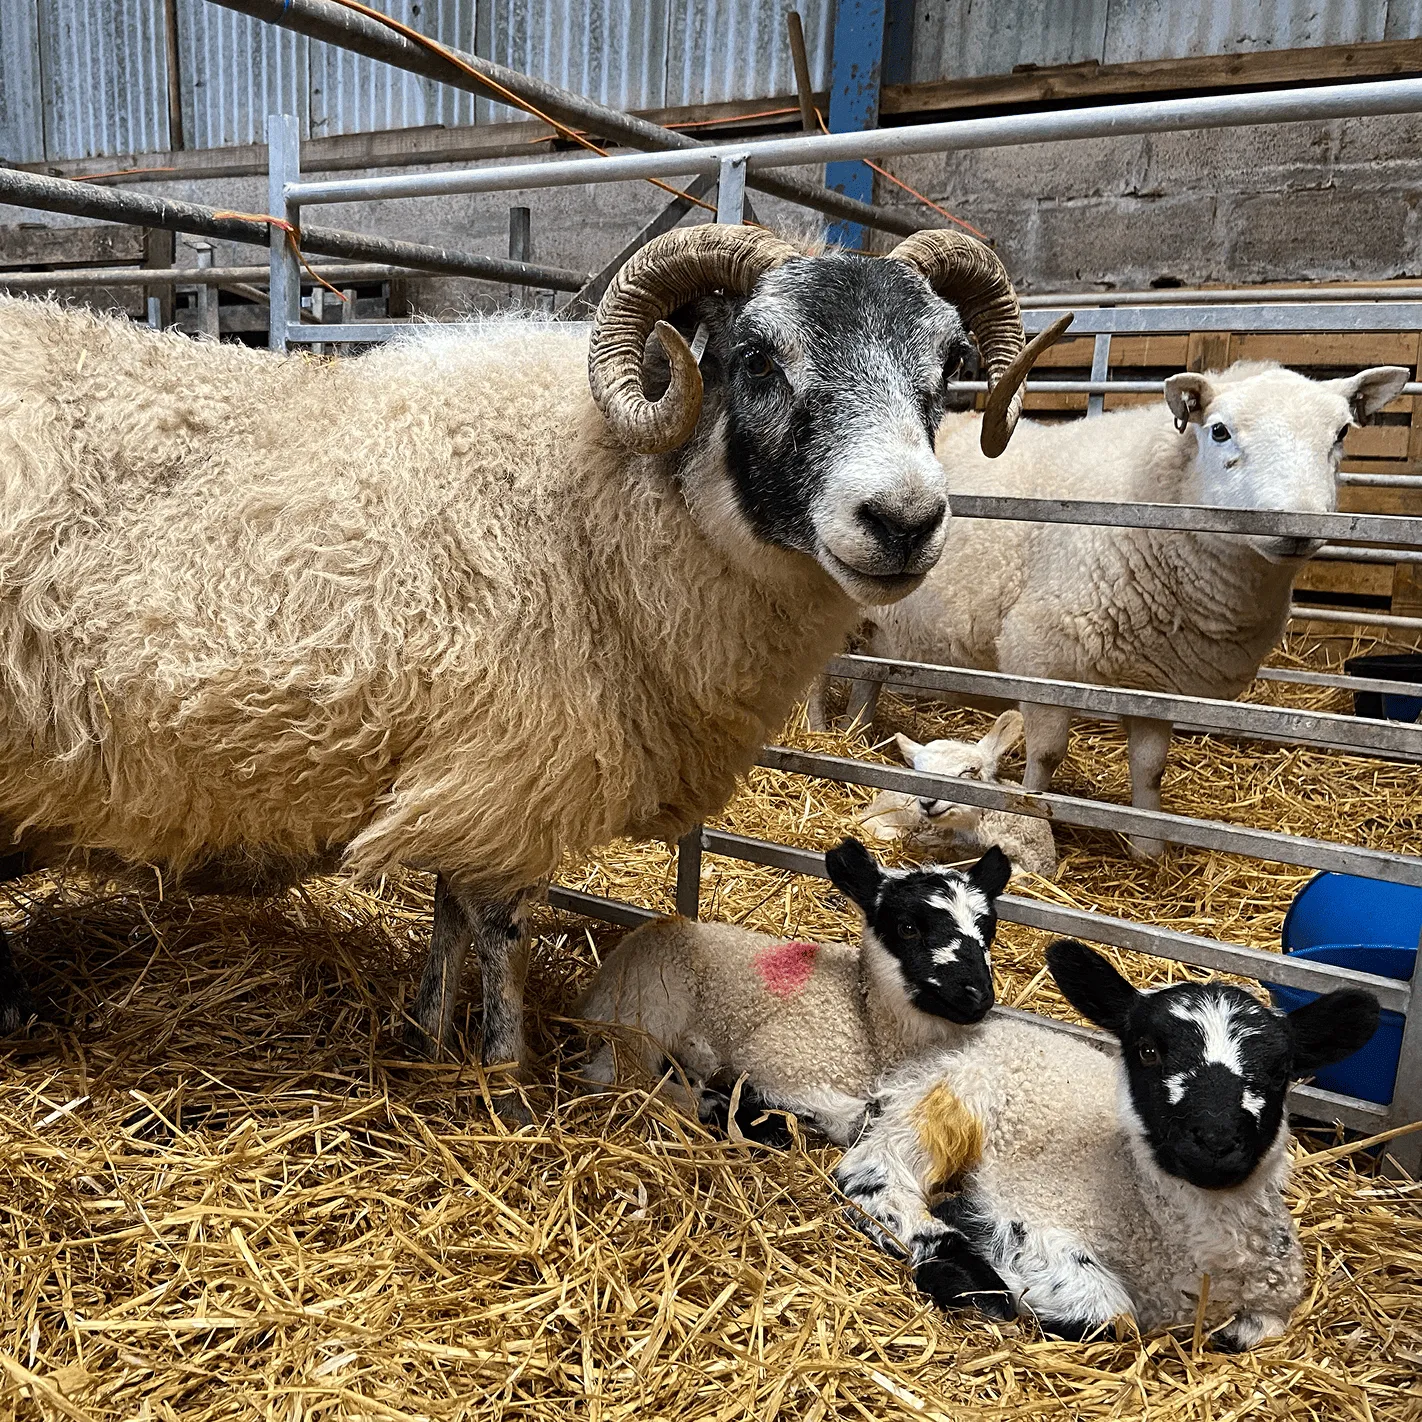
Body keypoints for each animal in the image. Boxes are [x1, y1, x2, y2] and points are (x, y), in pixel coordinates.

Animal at [577, 839, 1011, 1144]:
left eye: (987, 929)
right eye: (907, 928)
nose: (976, 995)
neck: (865, 1020)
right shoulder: (781, 1056)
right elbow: (855, 1117)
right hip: (649, 1008)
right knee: (614, 1074)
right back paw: (704, 1102)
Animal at [830, 360, 1410, 857]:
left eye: (1342, 433)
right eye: (1219, 431)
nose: (1297, 525)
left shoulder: (1157, 683)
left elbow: (1150, 768)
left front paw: (1148, 848)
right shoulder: (1041, 656)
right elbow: (1045, 755)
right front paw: (1029, 813)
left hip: (883, 623)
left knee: (869, 675)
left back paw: (856, 732)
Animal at [834, 938, 1380, 1350]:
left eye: (1281, 1069)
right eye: (1148, 1050)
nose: (1215, 1140)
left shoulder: (1272, 1300)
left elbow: (1252, 1332)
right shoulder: (1032, 1213)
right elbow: (1109, 1313)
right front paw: (966, 1243)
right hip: (946, 1101)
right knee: (871, 1175)